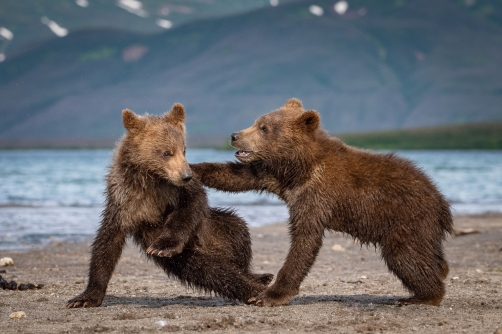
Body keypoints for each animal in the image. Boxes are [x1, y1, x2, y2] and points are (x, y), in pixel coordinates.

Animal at [65, 103, 274, 308]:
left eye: (184, 150)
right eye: (166, 152)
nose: (186, 175)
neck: (152, 179)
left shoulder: (178, 191)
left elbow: (191, 205)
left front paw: (164, 245)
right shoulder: (123, 199)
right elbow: (108, 241)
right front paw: (84, 297)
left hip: (217, 227)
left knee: (238, 235)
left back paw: (258, 278)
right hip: (185, 257)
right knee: (210, 270)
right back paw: (253, 285)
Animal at [189, 98, 454, 306]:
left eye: (264, 128)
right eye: (257, 122)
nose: (235, 136)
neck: (299, 166)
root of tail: (441, 200)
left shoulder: (316, 195)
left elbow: (305, 239)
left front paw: (270, 295)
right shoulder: (276, 176)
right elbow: (237, 176)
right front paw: (190, 168)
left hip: (407, 218)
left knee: (406, 255)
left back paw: (422, 296)